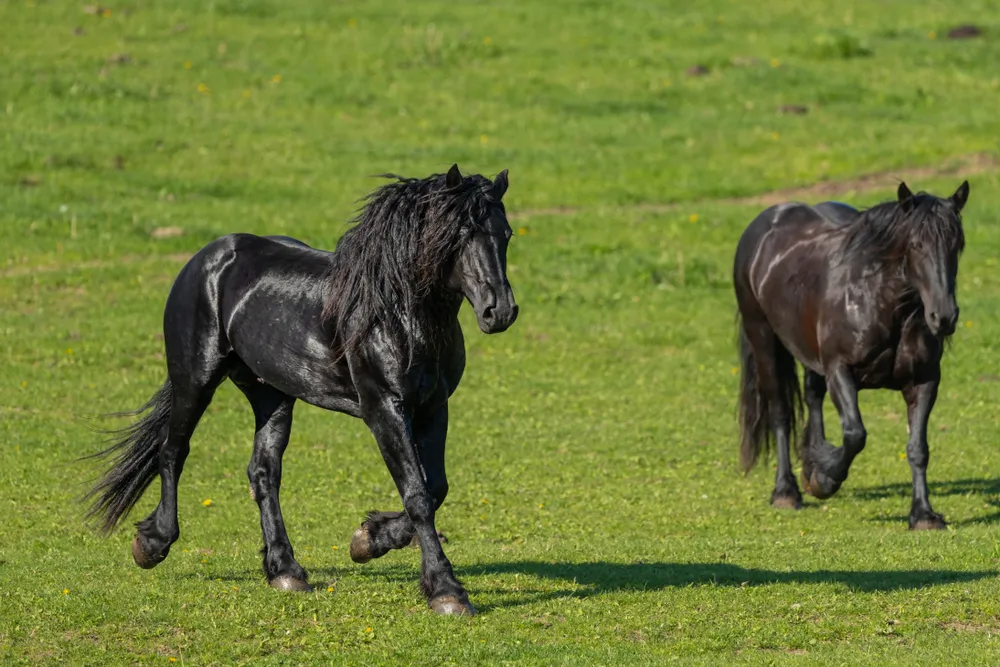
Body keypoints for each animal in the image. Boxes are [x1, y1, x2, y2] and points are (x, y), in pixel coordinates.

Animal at [85, 164, 520, 612]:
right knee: (173, 451)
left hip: (271, 395)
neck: (396, 316)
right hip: (195, 378)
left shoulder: (434, 407)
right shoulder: (384, 408)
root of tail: (208, 257)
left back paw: (285, 571)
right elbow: (417, 493)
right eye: (460, 235)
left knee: (263, 472)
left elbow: (435, 487)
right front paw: (446, 590)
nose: (500, 311)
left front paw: (368, 540)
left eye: (505, 234)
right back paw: (153, 544)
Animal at [736, 180, 968, 528]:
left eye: (958, 244)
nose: (943, 317)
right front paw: (825, 479)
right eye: (916, 245)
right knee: (780, 411)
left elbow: (918, 448)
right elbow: (855, 434)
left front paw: (923, 514)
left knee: (812, 395)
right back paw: (786, 491)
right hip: (762, 338)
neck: (882, 304)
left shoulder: (924, 380)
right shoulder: (840, 372)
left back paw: (810, 462)